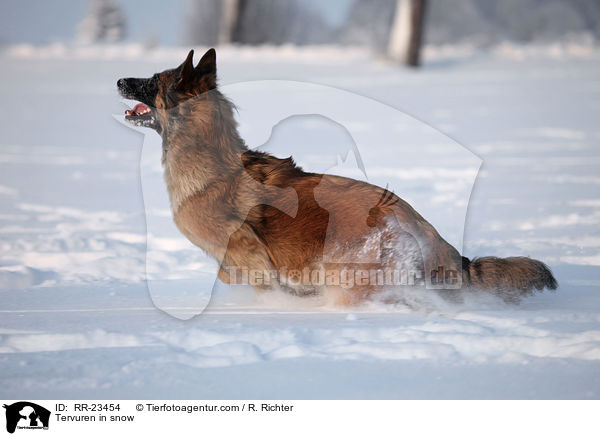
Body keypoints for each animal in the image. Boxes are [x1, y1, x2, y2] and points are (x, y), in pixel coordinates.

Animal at [118, 48, 556, 304]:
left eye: (153, 81)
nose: (119, 79)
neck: (213, 162)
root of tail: (426, 228)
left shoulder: (249, 256)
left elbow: (244, 278)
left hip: (350, 278)